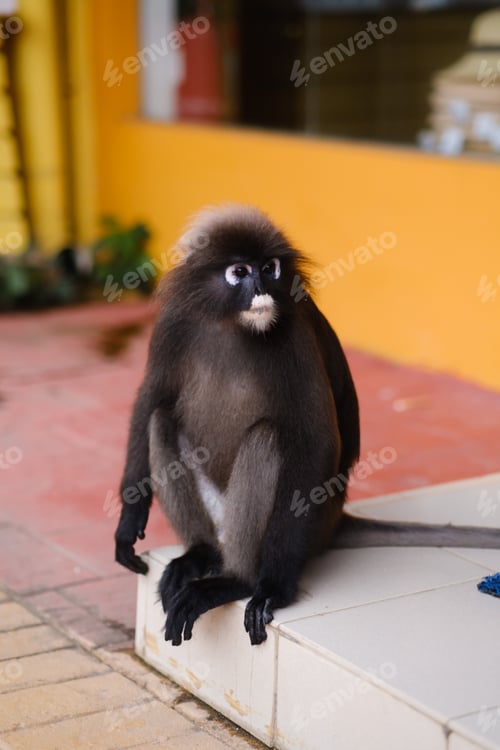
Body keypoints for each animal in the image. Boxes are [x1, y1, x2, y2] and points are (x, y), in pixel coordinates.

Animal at [114, 204, 500, 647]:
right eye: (240, 272)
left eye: (270, 268)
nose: (262, 288)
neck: (232, 323)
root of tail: (334, 520)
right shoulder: (173, 322)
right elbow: (150, 399)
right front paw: (128, 523)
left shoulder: (294, 328)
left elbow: (313, 440)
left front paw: (273, 590)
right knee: (162, 419)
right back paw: (200, 554)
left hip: (305, 523)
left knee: (267, 437)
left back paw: (236, 580)